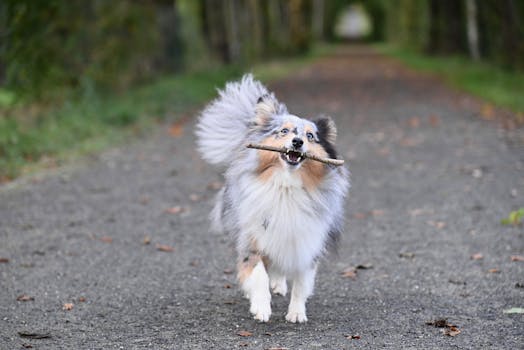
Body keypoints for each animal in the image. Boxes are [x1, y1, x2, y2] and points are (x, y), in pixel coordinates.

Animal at [194, 74, 350, 322]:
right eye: (284, 131)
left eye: (310, 136)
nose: (297, 142)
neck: (286, 185)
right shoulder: (253, 236)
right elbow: (257, 274)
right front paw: (261, 307)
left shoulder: (307, 239)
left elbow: (301, 283)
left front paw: (296, 313)